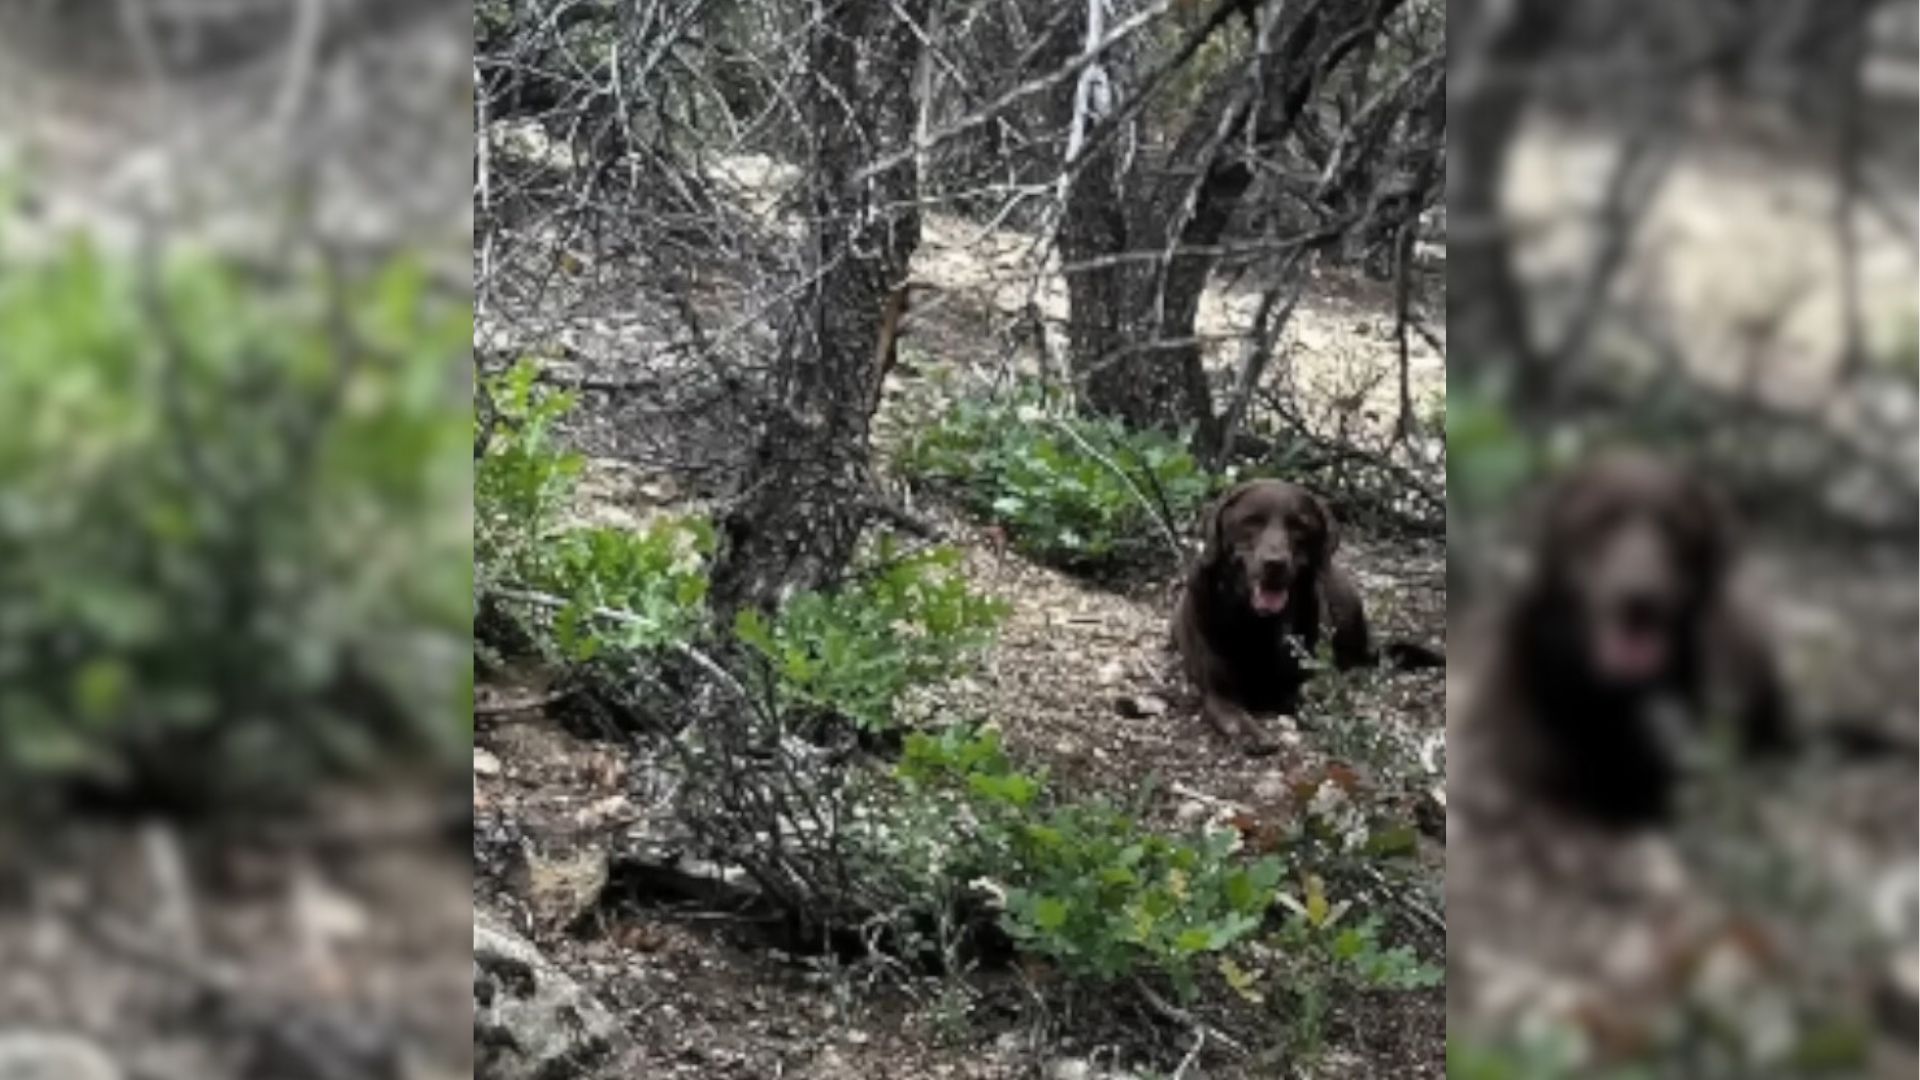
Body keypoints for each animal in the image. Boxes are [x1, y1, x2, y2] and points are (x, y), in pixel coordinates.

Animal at [1159, 474, 1374, 753]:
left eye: (1299, 525)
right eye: (1252, 521)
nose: (1275, 563)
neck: (1258, 622)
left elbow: (1313, 692)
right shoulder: (1219, 694)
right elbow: (1236, 719)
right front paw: (1256, 736)